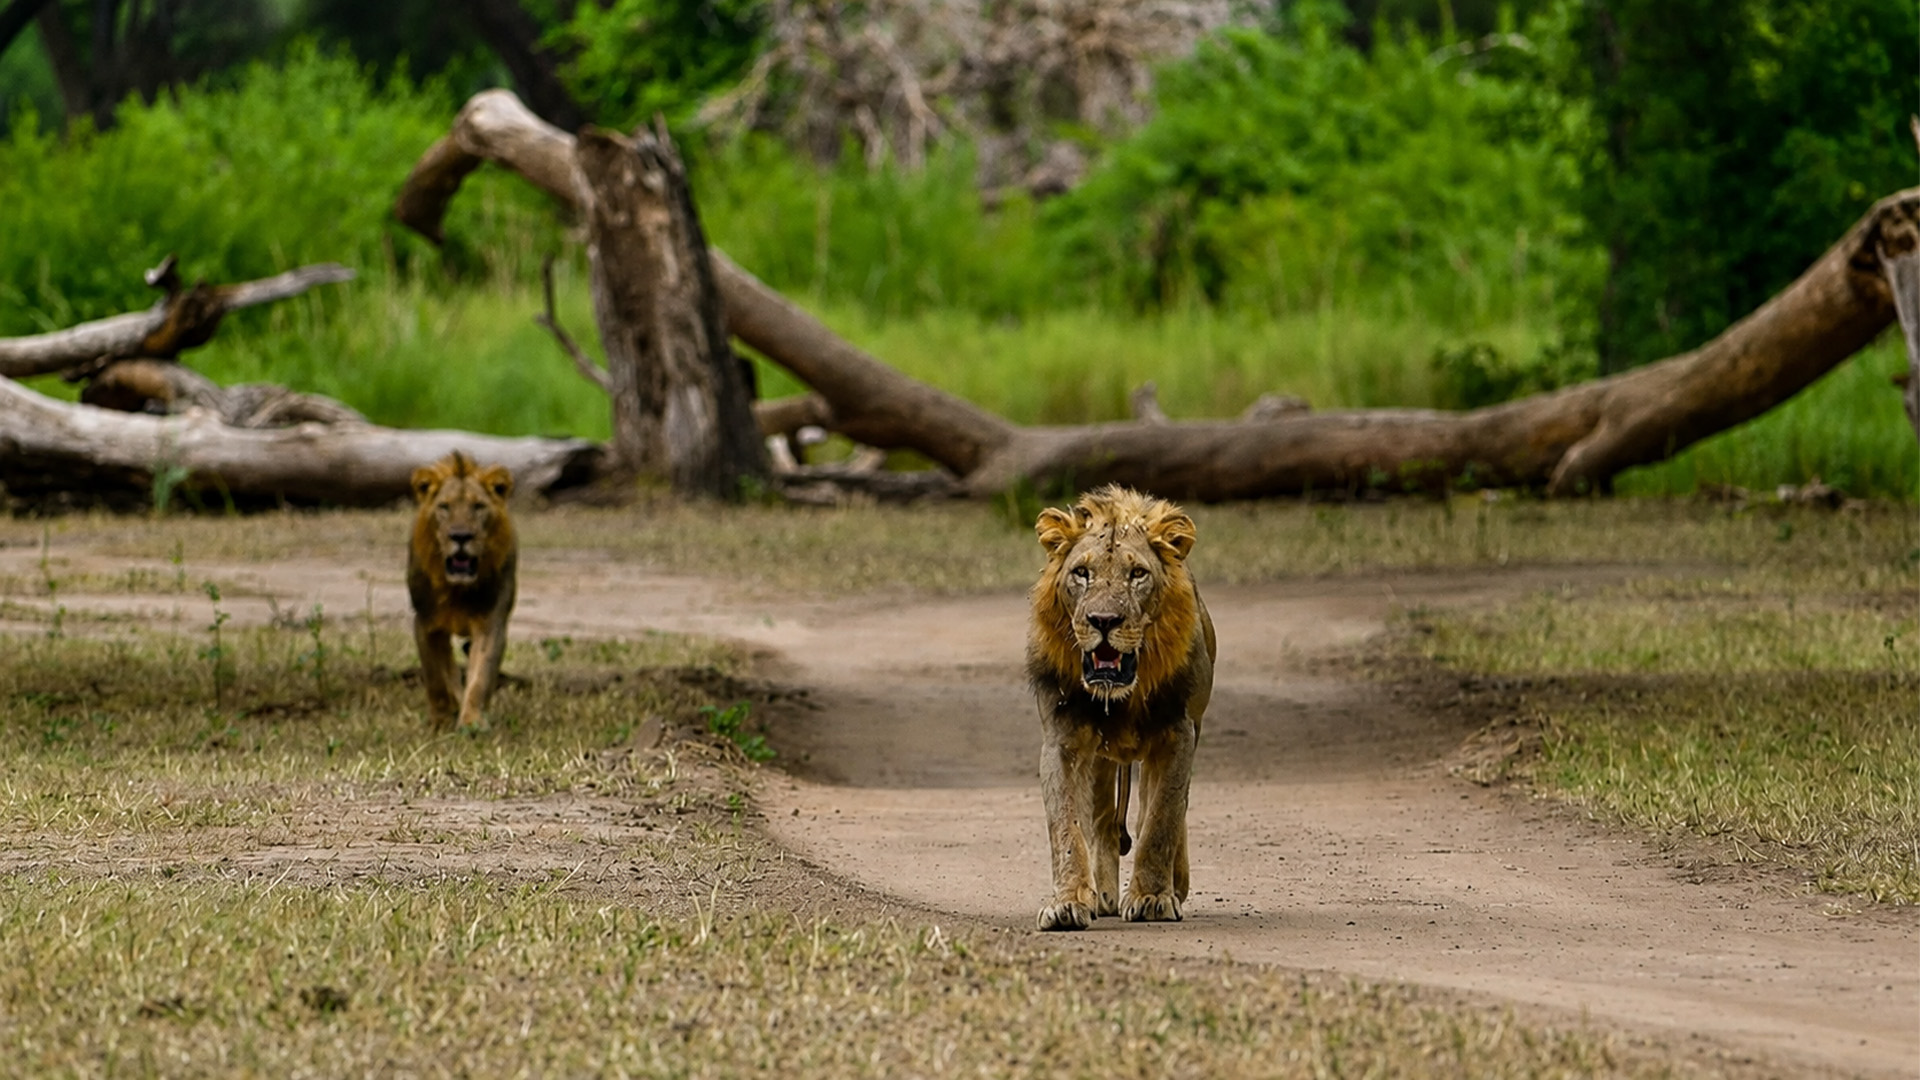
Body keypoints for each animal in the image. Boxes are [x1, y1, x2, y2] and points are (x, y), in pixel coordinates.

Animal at [407, 450, 517, 732]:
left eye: (478, 507)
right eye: (444, 507)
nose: (461, 536)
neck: (457, 588)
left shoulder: (491, 624)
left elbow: (480, 678)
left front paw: (472, 722)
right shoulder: (425, 623)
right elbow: (436, 676)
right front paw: (440, 720)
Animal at [1027, 484, 1216, 931]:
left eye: (1137, 574)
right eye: (1082, 573)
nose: (1103, 620)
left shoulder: (1179, 732)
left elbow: (1162, 817)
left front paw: (1153, 897)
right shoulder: (1061, 739)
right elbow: (1065, 826)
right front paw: (1067, 902)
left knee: (1159, 809)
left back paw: (1173, 883)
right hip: (1100, 758)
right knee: (1101, 819)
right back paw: (1105, 894)